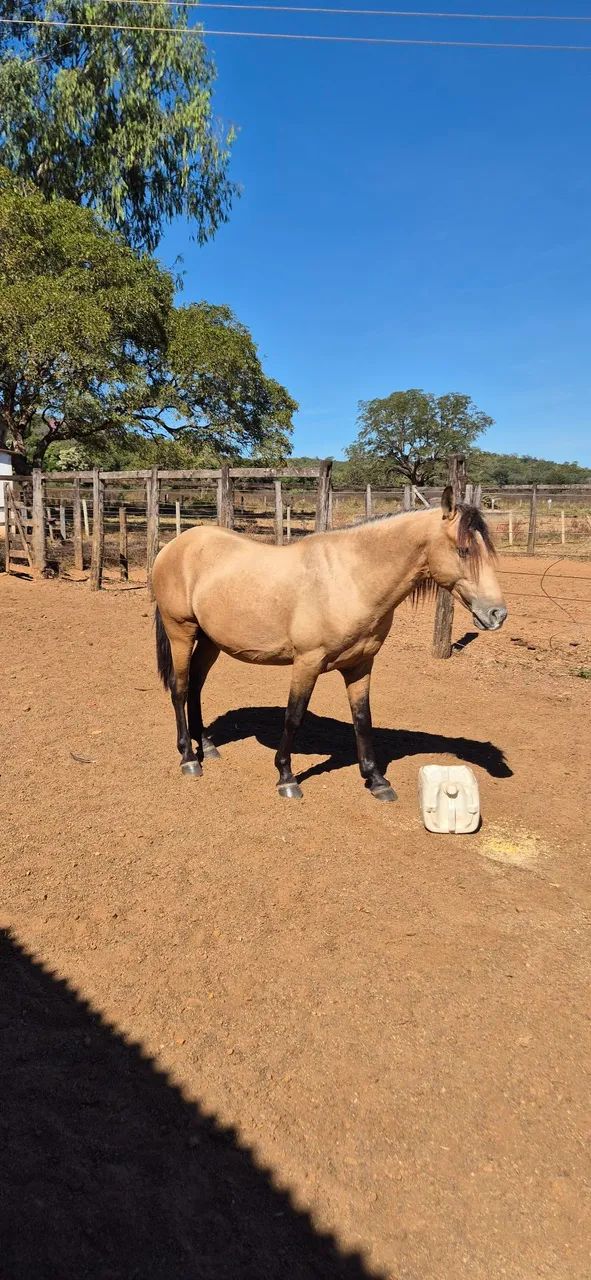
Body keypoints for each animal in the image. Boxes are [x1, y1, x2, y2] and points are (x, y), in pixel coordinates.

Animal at [151, 486, 507, 801]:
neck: (351, 579)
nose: (497, 614)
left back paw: (208, 746)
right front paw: (286, 777)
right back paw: (189, 758)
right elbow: (294, 717)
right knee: (180, 688)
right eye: (464, 551)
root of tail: (174, 546)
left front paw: (376, 780)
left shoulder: (360, 665)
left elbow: (363, 720)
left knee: (195, 687)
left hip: (210, 640)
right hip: (181, 632)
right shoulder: (307, 662)